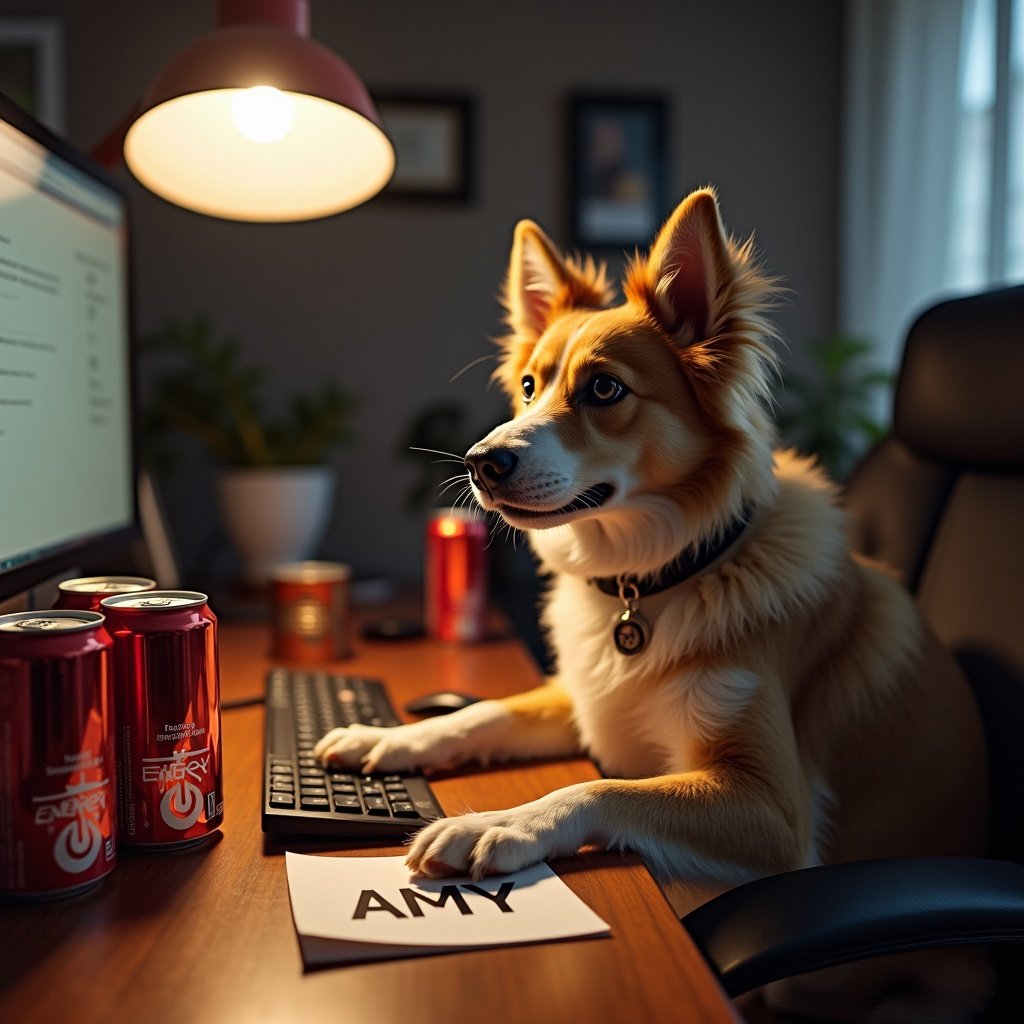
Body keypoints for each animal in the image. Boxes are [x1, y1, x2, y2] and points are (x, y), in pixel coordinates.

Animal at [317, 188, 991, 1019]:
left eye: (605, 389)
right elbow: (485, 712)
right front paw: (386, 738)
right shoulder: (585, 698)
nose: (480, 462)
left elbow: (598, 785)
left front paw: (498, 822)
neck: (657, 580)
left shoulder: (774, 811)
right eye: (530, 387)